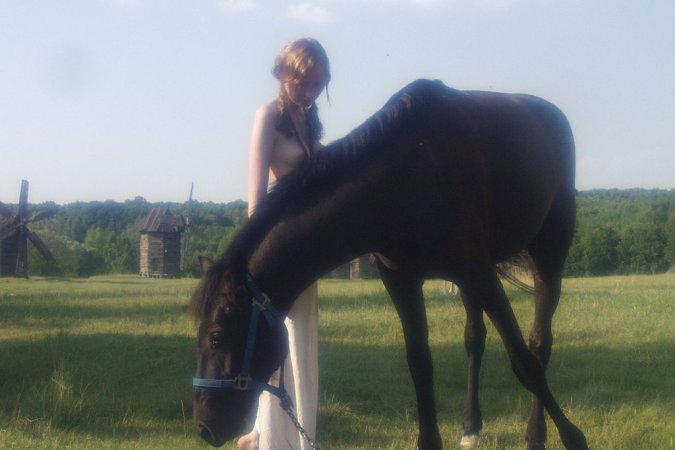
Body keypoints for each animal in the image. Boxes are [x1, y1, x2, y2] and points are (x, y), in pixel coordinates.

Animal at [189, 79, 589, 450]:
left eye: (217, 335)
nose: (205, 426)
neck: (406, 178)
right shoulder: (403, 279)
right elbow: (419, 363)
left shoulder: (478, 272)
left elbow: (524, 363)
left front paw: (573, 436)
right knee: (474, 339)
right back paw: (471, 426)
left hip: (546, 255)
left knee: (539, 342)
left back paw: (535, 433)